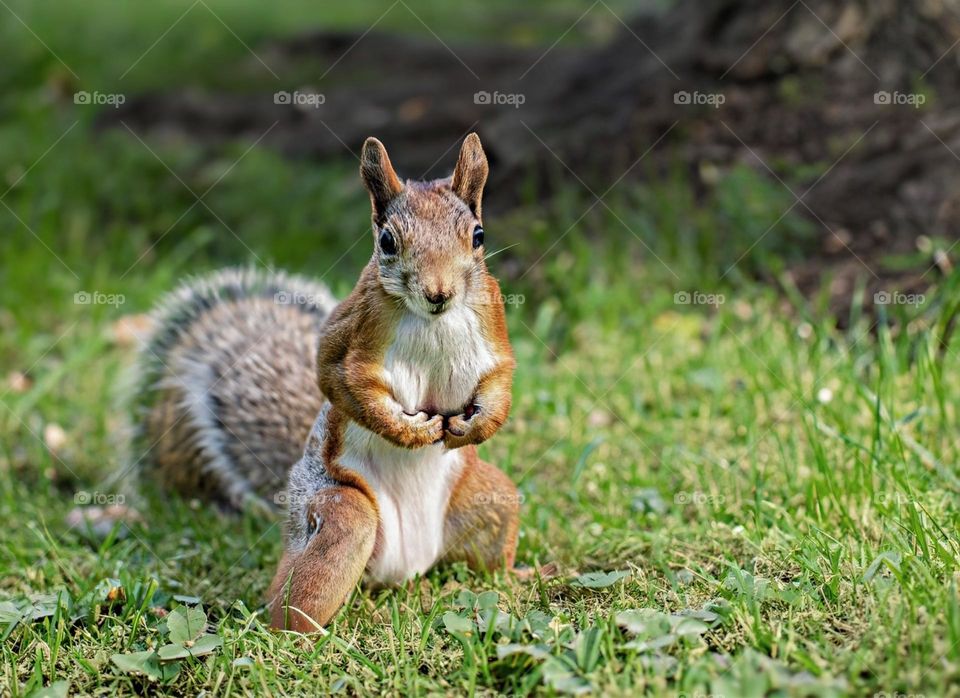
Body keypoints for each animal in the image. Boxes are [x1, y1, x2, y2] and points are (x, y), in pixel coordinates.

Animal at [128, 134, 520, 631]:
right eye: (387, 241)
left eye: (478, 235)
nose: (439, 293)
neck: (433, 319)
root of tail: (403, 569)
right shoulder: (351, 332)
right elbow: (343, 382)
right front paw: (408, 430)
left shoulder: (493, 322)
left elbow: (499, 376)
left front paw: (481, 423)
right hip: (336, 511)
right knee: (308, 576)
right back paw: (289, 636)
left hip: (490, 497)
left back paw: (524, 575)